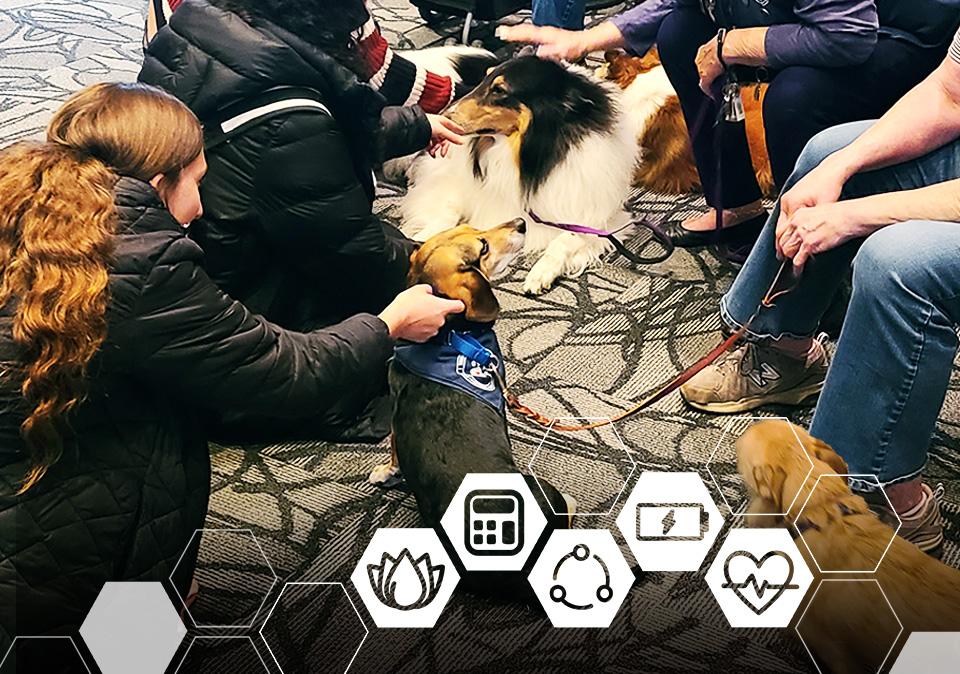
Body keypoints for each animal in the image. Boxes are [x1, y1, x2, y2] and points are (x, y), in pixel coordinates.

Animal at [370, 220, 572, 536]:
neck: (449, 335)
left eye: (473, 227)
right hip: (545, 491)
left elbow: (393, 449)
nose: (521, 223)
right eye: (483, 247)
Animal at [400, 58, 636, 296]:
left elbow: (566, 238)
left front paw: (540, 274)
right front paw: (425, 237)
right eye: (484, 78)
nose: (442, 116)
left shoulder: (603, 218)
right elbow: (448, 211)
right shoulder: (446, 177)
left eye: (499, 90)